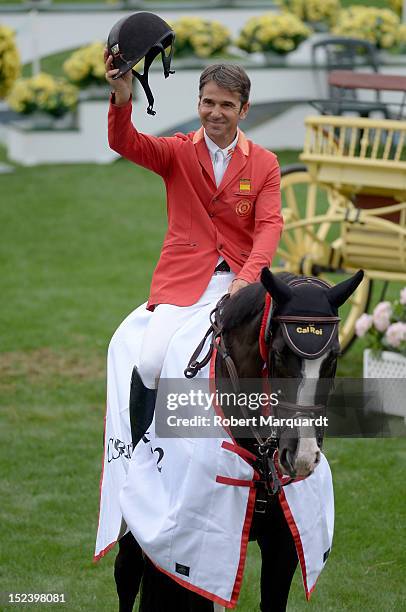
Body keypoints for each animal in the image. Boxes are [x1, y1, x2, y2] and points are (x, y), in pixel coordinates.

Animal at [112, 268, 364, 612]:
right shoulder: (201, 549)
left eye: (333, 358)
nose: (300, 456)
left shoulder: (283, 548)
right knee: (127, 574)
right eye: (279, 354)